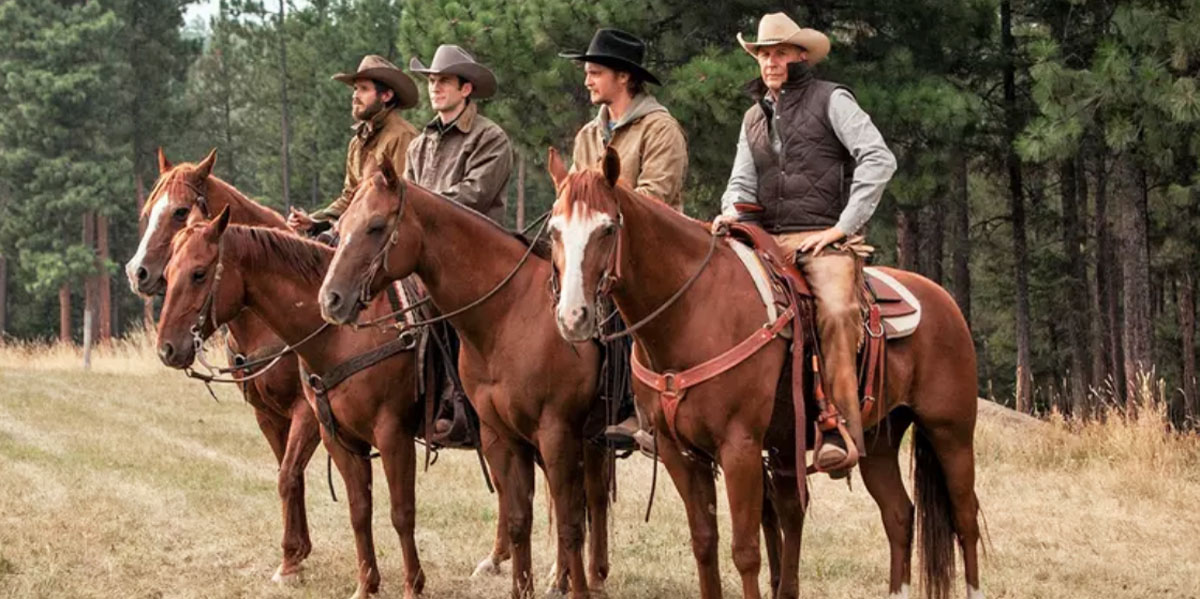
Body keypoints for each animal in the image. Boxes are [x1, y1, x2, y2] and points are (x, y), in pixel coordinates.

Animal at [122, 150, 319, 585]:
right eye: (148, 210)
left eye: (180, 211)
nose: (136, 272)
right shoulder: (267, 415)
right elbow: (289, 475)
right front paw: (295, 555)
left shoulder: (309, 413)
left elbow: (288, 475)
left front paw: (290, 559)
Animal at [314, 162, 614, 597]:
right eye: (340, 227)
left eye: (375, 225)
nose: (331, 299)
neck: (511, 313)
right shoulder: (501, 435)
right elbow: (520, 518)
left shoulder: (556, 432)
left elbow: (570, 520)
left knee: (589, 501)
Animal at [549, 148, 979, 599]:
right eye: (553, 231)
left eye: (607, 228)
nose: (573, 317)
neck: (693, 311)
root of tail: (944, 301)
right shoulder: (678, 451)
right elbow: (705, 542)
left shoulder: (739, 446)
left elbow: (746, 550)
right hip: (879, 440)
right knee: (899, 515)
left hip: (950, 431)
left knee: (965, 518)